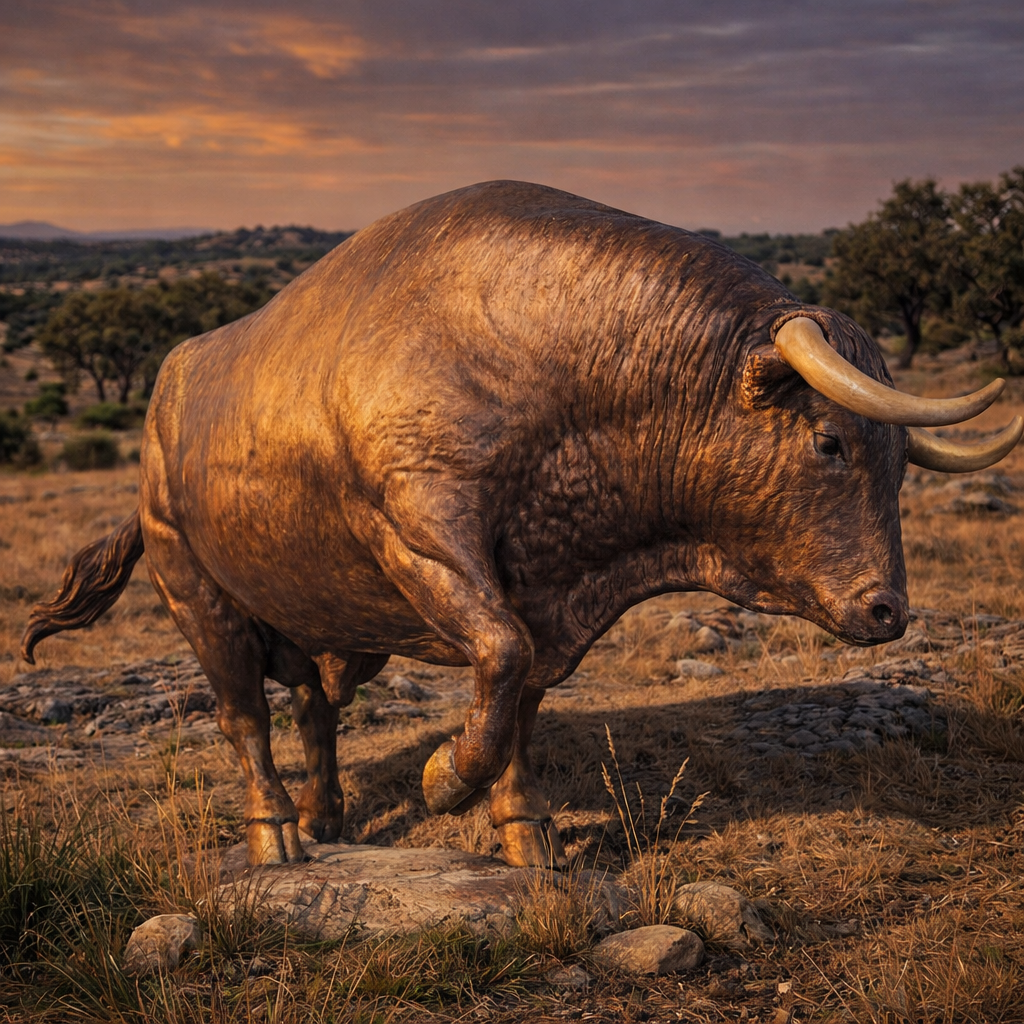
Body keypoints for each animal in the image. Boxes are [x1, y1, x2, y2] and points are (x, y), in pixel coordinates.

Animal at [22, 181, 1022, 868]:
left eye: (900, 460)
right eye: (829, 441)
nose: (888, 611)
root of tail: (168, 387)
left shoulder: (548, 595)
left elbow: (520, 703)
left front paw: (525, 834)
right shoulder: (427, 540)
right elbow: (497, 660)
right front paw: (443, 781)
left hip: (318, 619)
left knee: (313, 707)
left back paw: (326, 814)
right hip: (200, 597)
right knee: (244, 721)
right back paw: (278, 835)